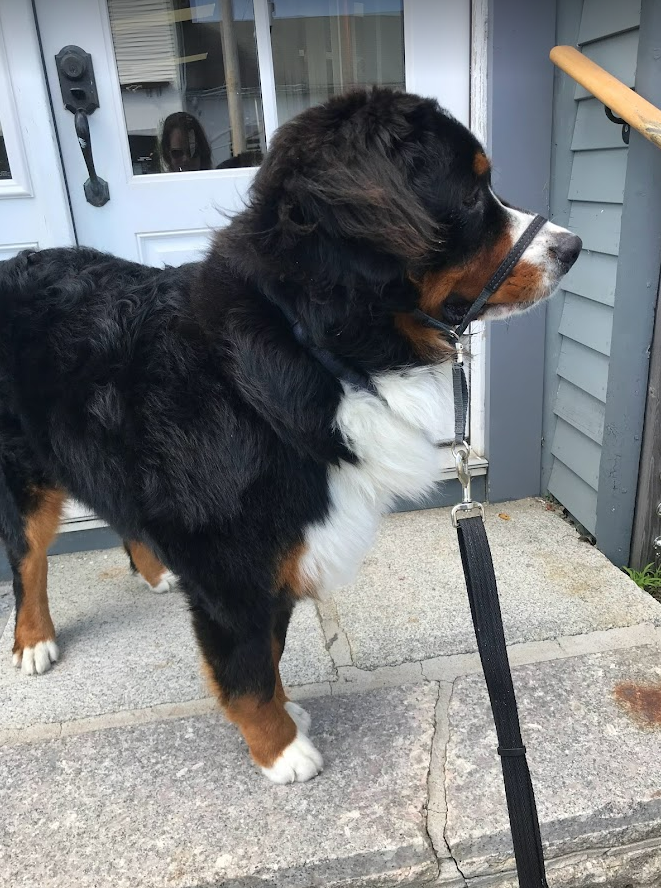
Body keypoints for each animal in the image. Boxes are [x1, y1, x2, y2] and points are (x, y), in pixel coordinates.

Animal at [0, 88, 576, 784]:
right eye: (470, 197)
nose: (573, 247)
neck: (307, 349)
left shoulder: (285, 547)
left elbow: (269, 652)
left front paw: (285, 713)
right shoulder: (232, 568)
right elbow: (246, 669)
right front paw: (278, 750)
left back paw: (153, 568)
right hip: (23, 470)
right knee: (28, 556)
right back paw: (33, 638)